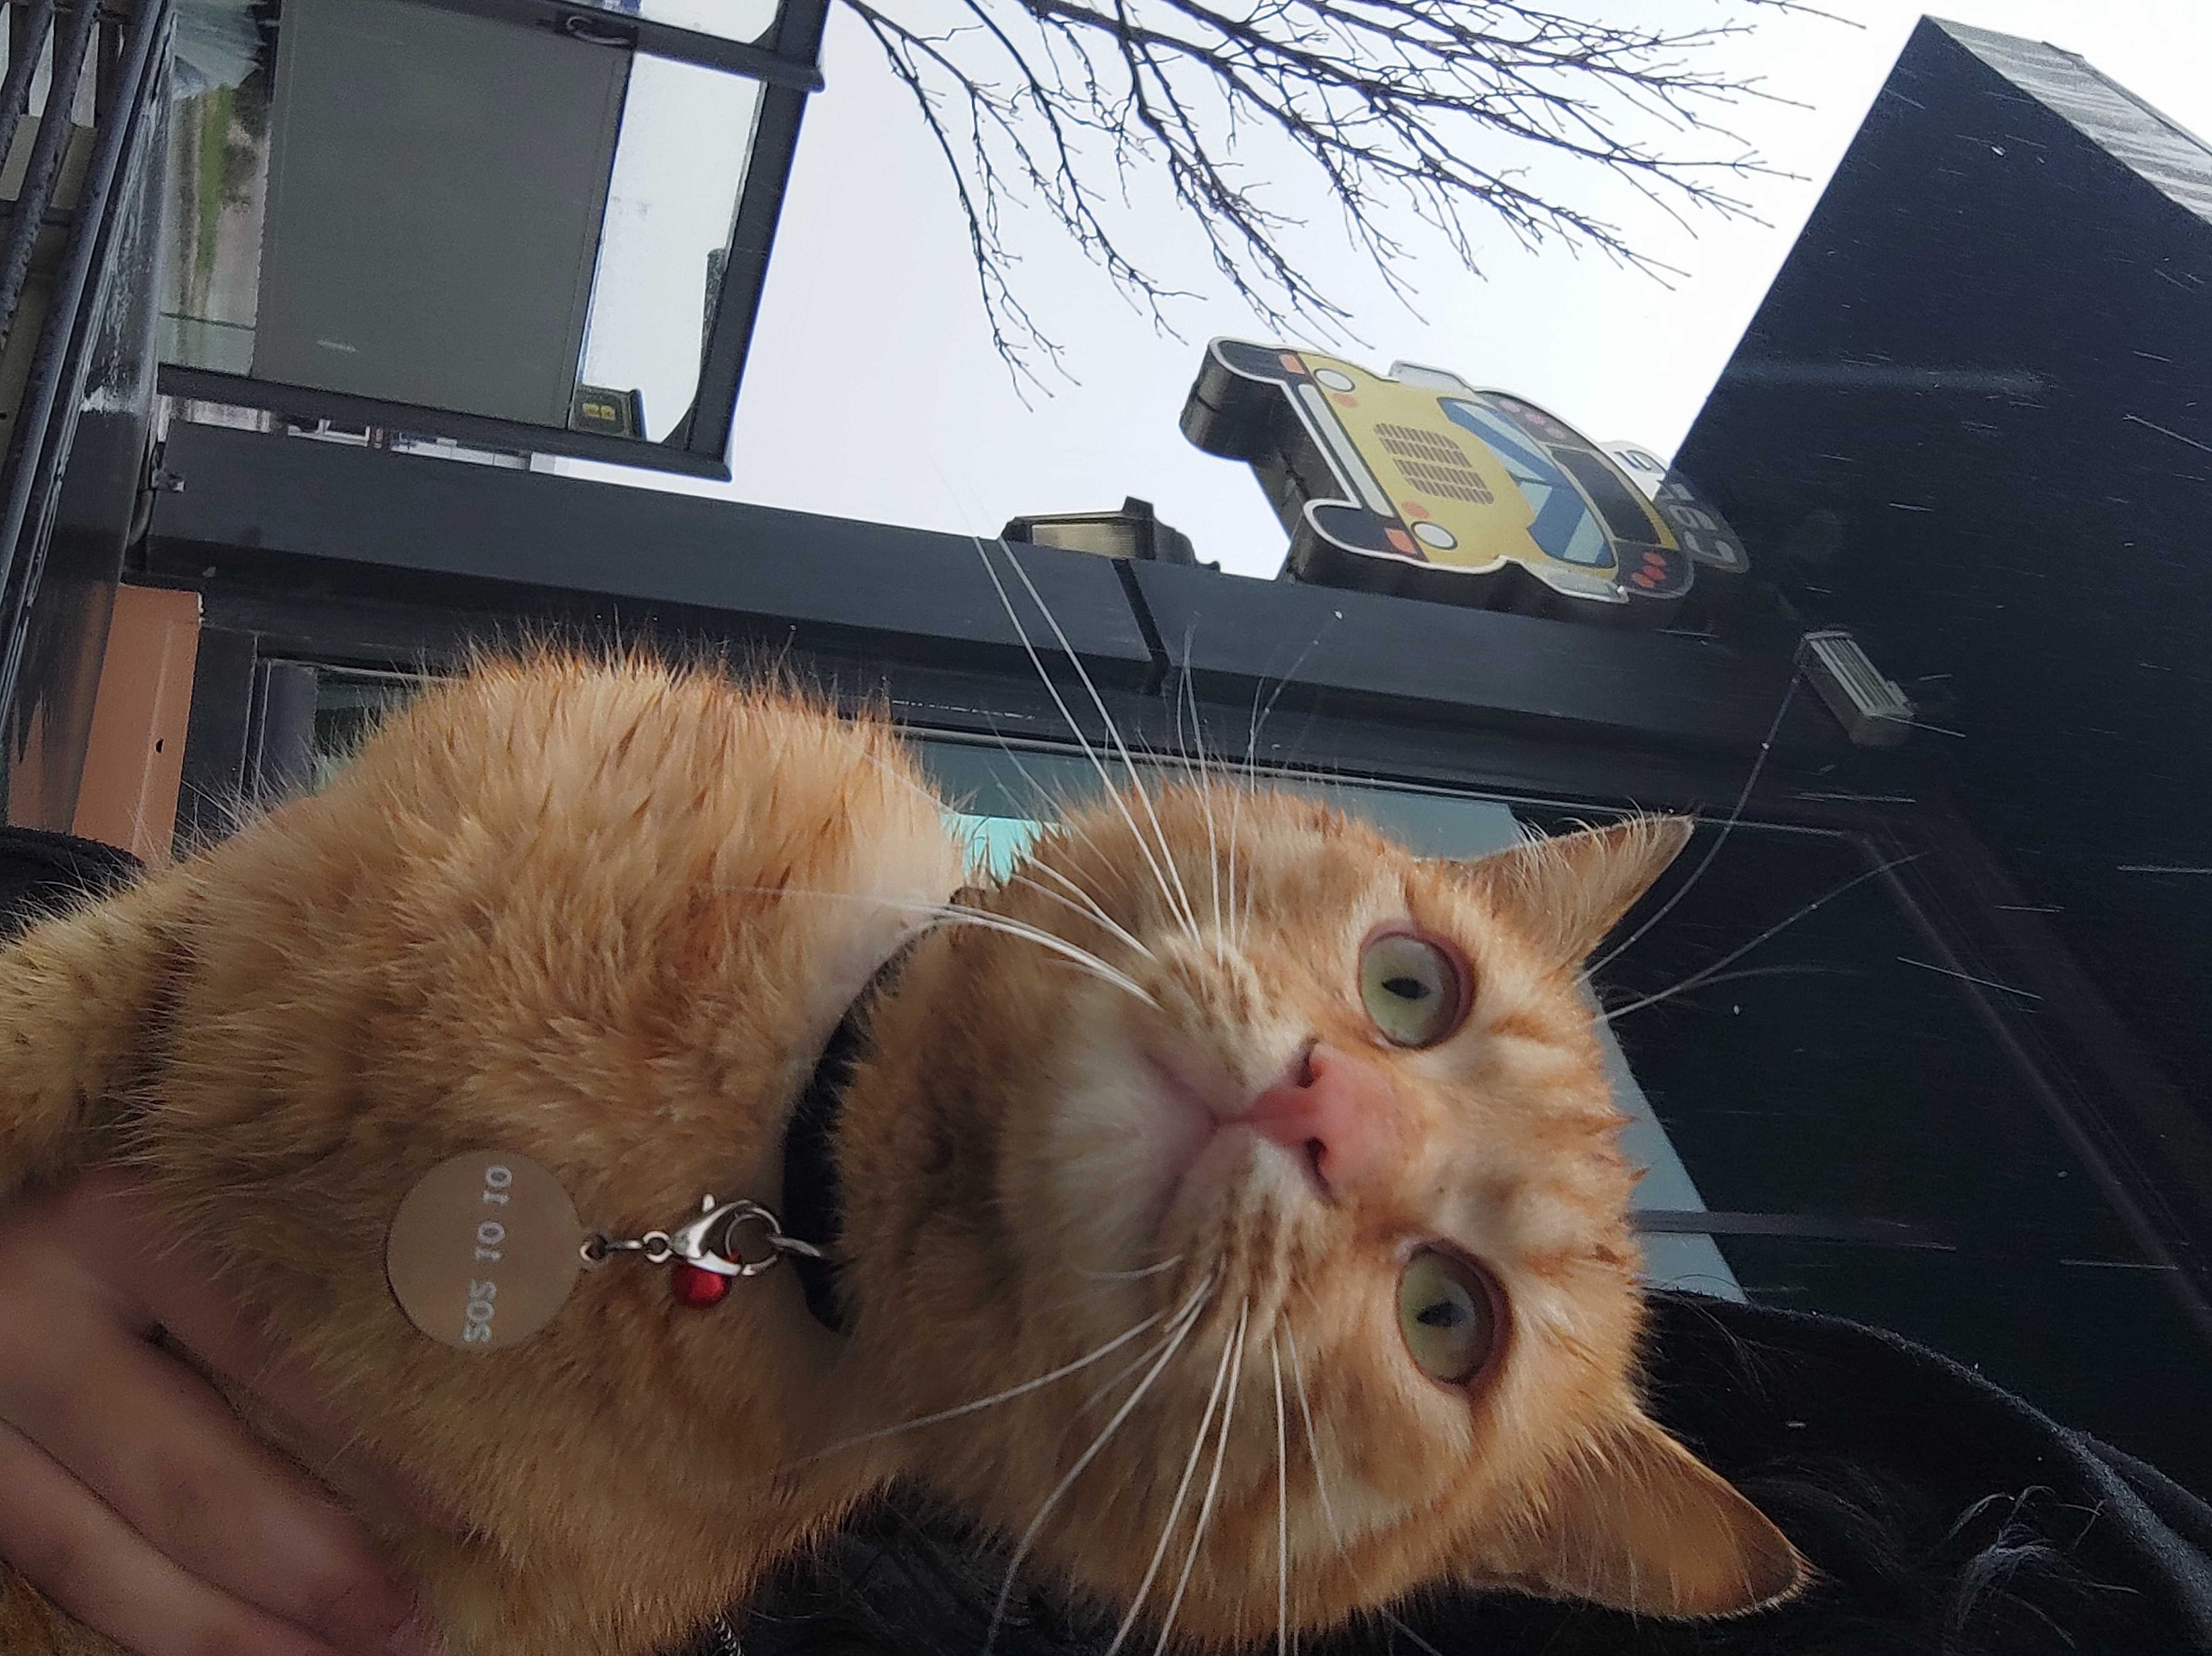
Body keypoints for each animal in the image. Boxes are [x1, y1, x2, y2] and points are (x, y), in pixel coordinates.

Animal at [0, 652, 1803, 1655]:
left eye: (1447, 1320)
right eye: (1410, 986)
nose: (1328, 1112)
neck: (762, 1160)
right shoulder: (219, 906)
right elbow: (39, 1012)